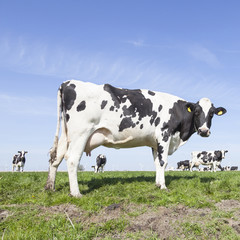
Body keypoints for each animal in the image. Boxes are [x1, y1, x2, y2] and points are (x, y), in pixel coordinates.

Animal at [45, 80, 227, 197]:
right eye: (196, 112)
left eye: (212, 114)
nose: (204, 131)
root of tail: (67, 83)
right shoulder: (164, 134)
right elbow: (163, 162)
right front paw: (164, 187)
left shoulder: (154, 143)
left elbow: (156, 162)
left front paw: (157, 184)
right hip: (80, 133)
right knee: (72, 159)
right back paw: (76, 193)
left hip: (66, 135)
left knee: (55, 158)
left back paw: (50, 187)